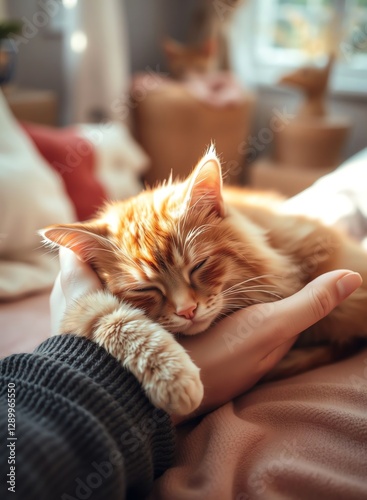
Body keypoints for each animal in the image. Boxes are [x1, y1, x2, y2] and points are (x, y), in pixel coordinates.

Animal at [41, 146, 367, 416]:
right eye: (144, 289)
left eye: (199, 266)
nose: (187, 310)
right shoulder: (82, 307)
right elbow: (117, 322)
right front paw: (173, 379)